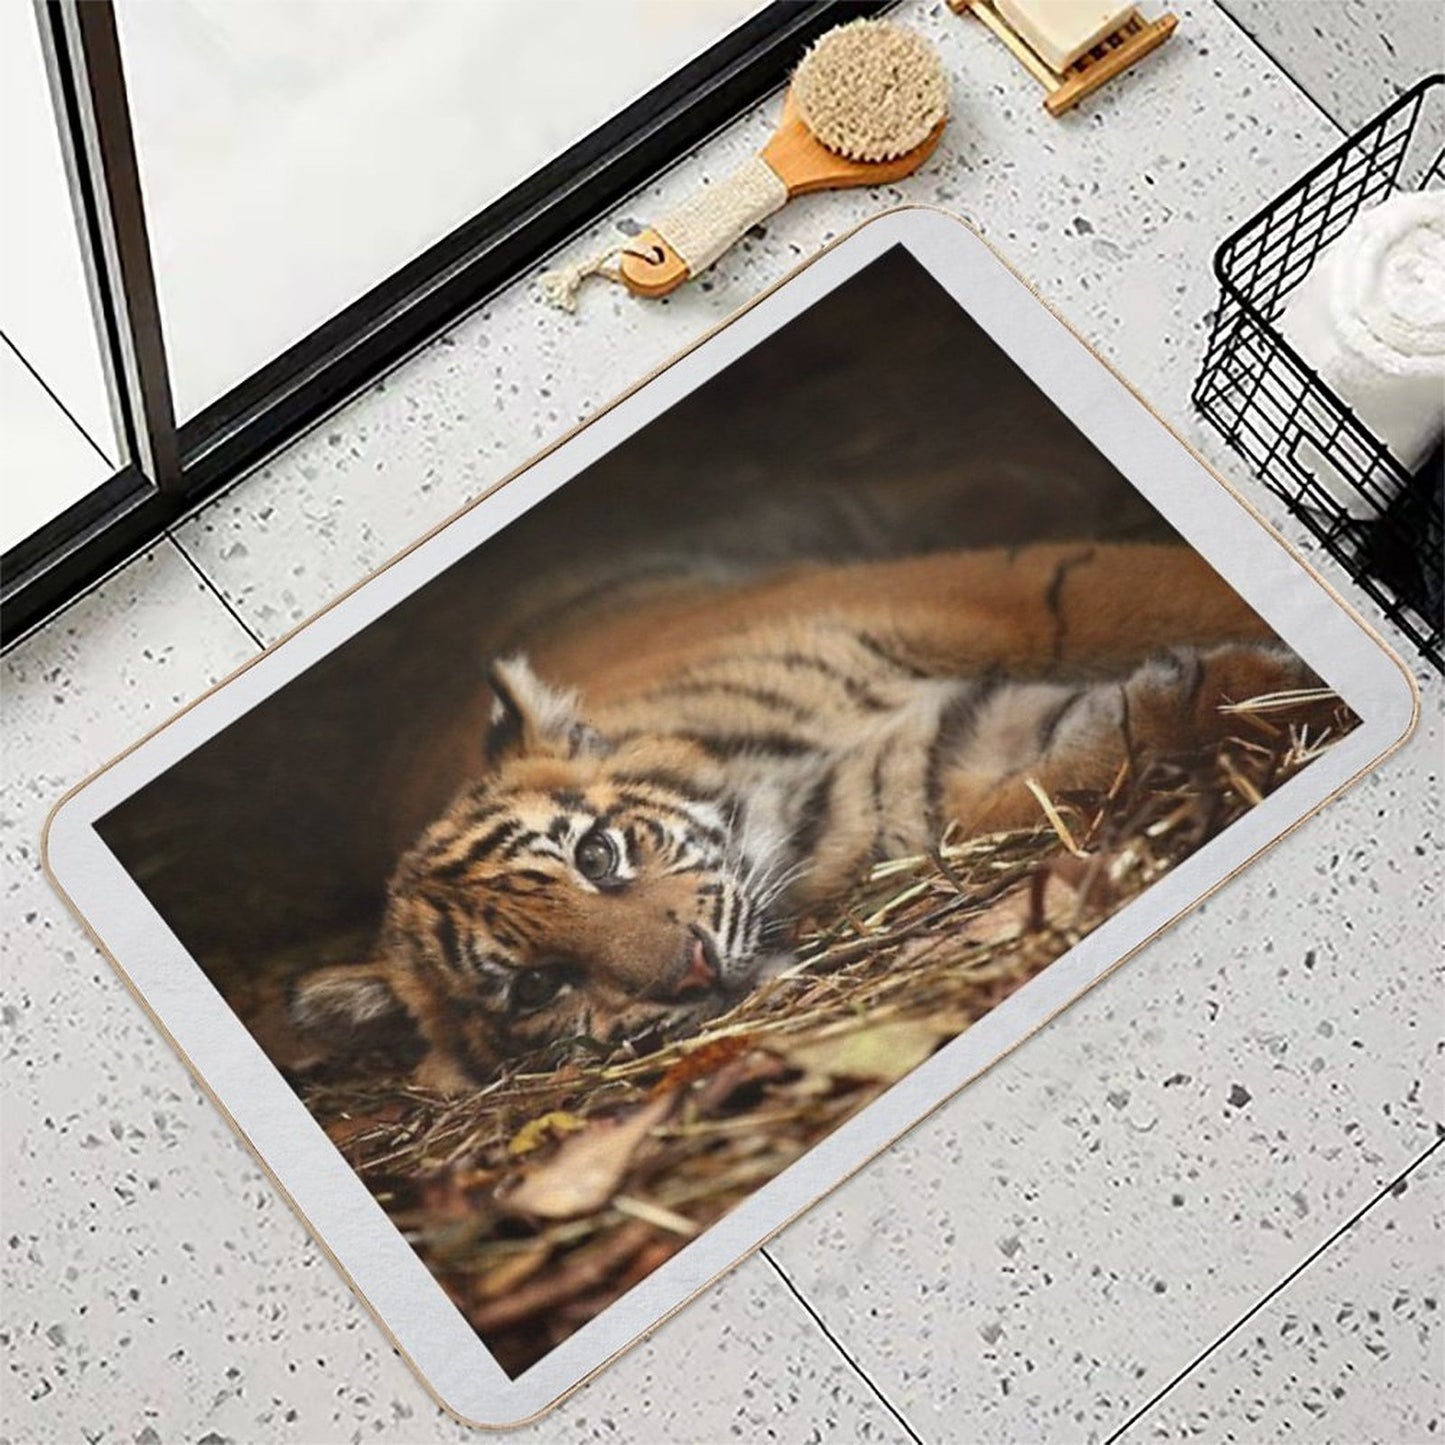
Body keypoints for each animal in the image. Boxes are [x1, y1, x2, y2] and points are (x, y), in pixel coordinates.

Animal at [292, 542, 1325, 1095]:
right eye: (537, 988)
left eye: (597, 853)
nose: (692, 970)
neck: (787, 798)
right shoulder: (938, 771)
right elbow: (1084, 757)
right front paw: (1255, 692)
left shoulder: (993, 594)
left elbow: (1145, 584)